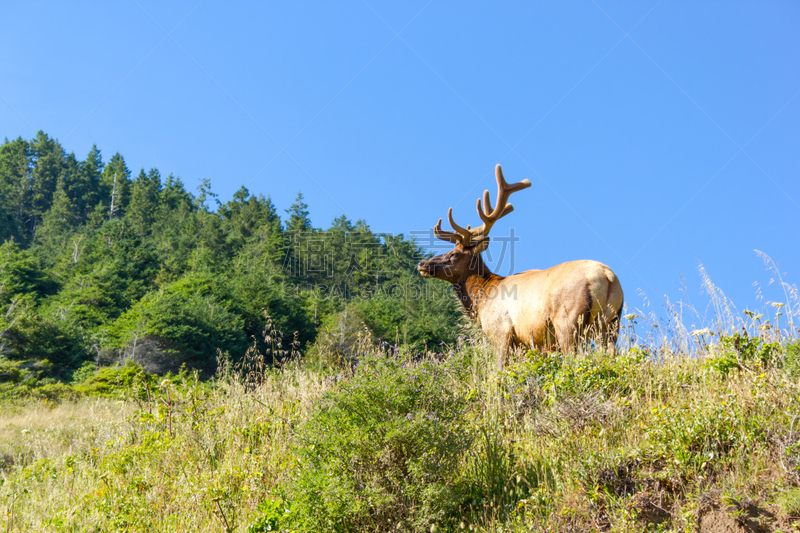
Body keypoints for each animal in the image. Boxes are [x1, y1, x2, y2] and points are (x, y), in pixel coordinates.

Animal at [418, 166, 624, 366]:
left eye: (454, 254)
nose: (422, 263)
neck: (483, 298)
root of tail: (607, 276)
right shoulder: (526, 344)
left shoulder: (501, 331)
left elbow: (499, 369)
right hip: (611, 322)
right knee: (611, 354)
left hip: (568, 319)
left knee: (574, 357)